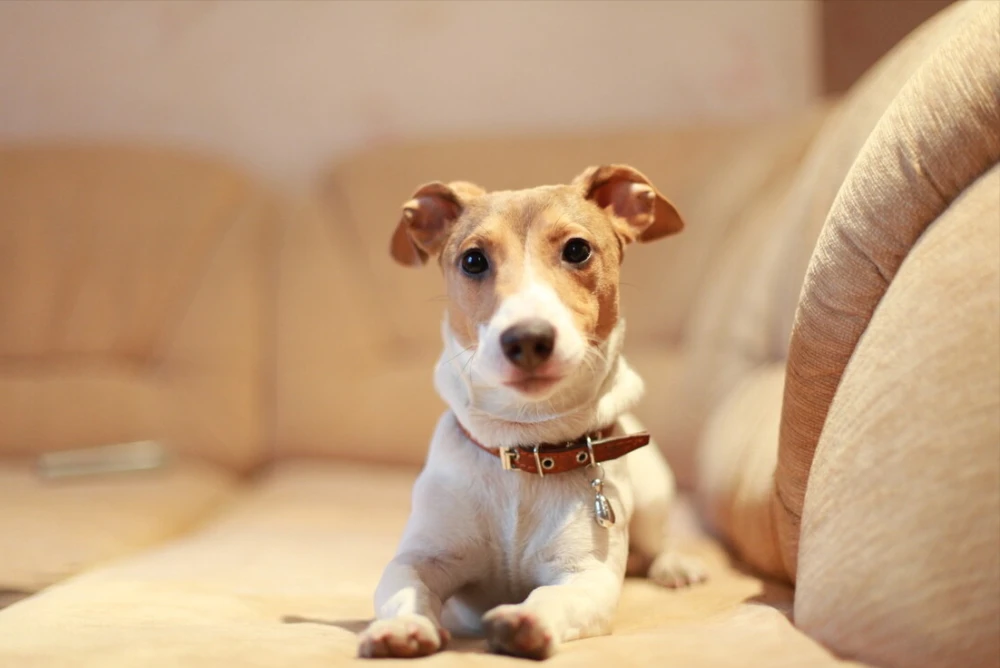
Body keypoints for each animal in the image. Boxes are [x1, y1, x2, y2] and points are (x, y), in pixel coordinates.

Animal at [358, 164, 704, 660]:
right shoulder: (422, 558)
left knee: (658, 539)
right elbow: (407, 587)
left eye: (577, 249)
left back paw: (674, 565)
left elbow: (552, 596)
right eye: (473, 260)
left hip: (655, 495)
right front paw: (403, 627)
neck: (524, 444)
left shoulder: (587, 575)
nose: (527, 338)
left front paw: (525, 620)